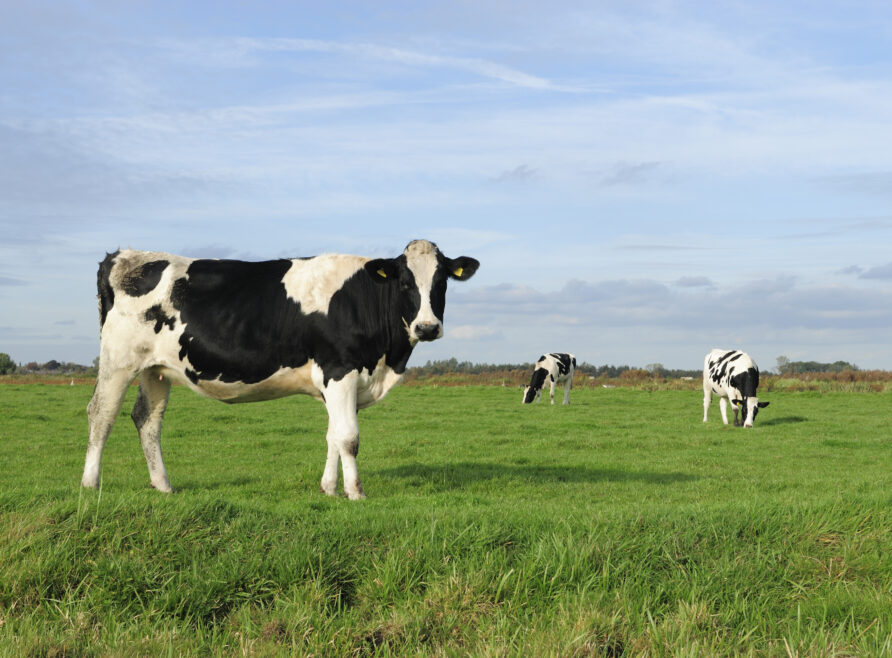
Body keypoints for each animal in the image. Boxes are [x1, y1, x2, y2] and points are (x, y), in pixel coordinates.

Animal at [81, 239, 478, 500]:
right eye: (405, 282)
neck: (385, 360)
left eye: (441, 282)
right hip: (118, 360)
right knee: (102, 414)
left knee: (147, 419)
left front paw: (328, 489)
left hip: (156, 368)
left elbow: (332, 435)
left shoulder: (334, 382)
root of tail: (122, 255)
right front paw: (355, 493)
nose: (427, 327)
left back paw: (163, 485)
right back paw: (90, 484)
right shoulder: (340, 370)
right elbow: (348, 437)